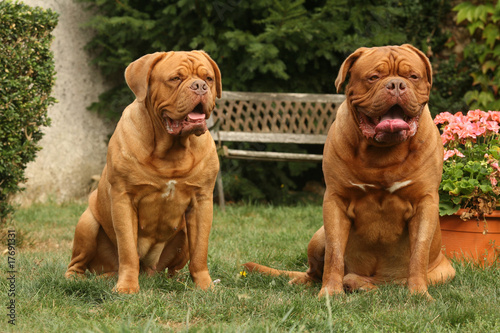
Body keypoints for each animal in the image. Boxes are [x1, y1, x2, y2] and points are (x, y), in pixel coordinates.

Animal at [65, 50, 222, 292]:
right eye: (175, 78)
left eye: (209, 79)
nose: (200, 86)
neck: (171, 150)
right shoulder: (124, 199)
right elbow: (128, 249)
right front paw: (127, 287)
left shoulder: (202, 201)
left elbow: (200, 251)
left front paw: (205, 286)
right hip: (87, 223)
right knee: (78, 263)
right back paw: (79, 278)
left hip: (182, 237)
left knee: (172, 267)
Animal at [244, 44, 456, 298]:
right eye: (373, 77)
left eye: (413, 76)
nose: (396, 84)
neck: (383, 152)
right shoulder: (336, 200)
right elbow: (335, 253)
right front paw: (330, 293)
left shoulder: (425, 203)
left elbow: (419, 252)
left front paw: (418, 294)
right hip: (318, 236)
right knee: (314, 271)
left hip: (445, 272)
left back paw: (362, 283)